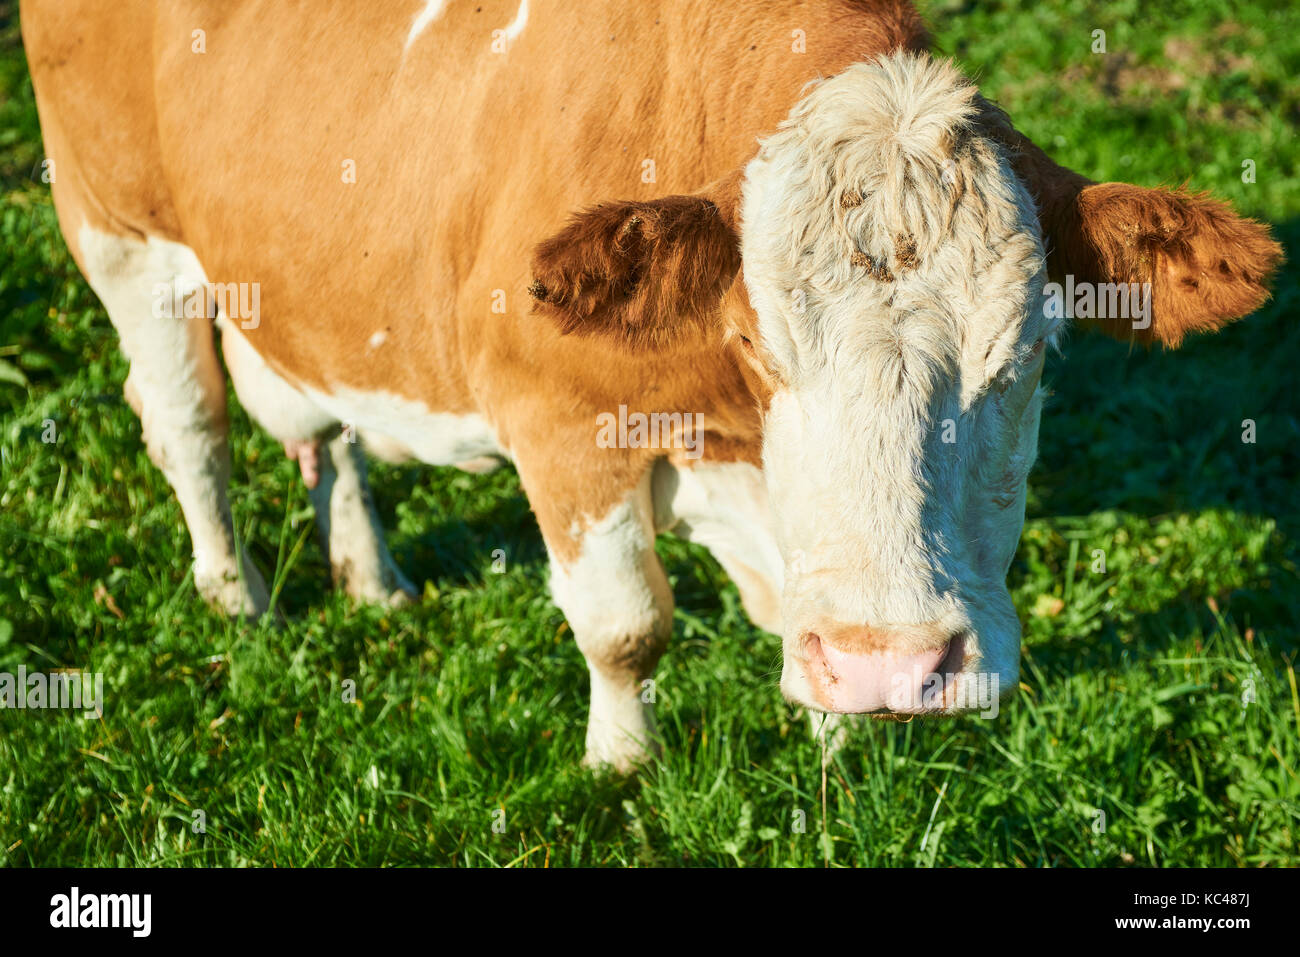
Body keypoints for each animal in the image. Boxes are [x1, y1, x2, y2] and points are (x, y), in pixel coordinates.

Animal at [22, 0, 1280, 770]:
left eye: (1026, 353)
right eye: (761, 344)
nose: (897, 666)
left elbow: (784, 609)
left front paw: (838, 734)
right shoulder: (557, 419)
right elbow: (625, 624)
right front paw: (620, 763)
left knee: (327, 429)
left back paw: (369, 574)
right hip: (118, 236)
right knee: (189, 427)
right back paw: (234, 594)